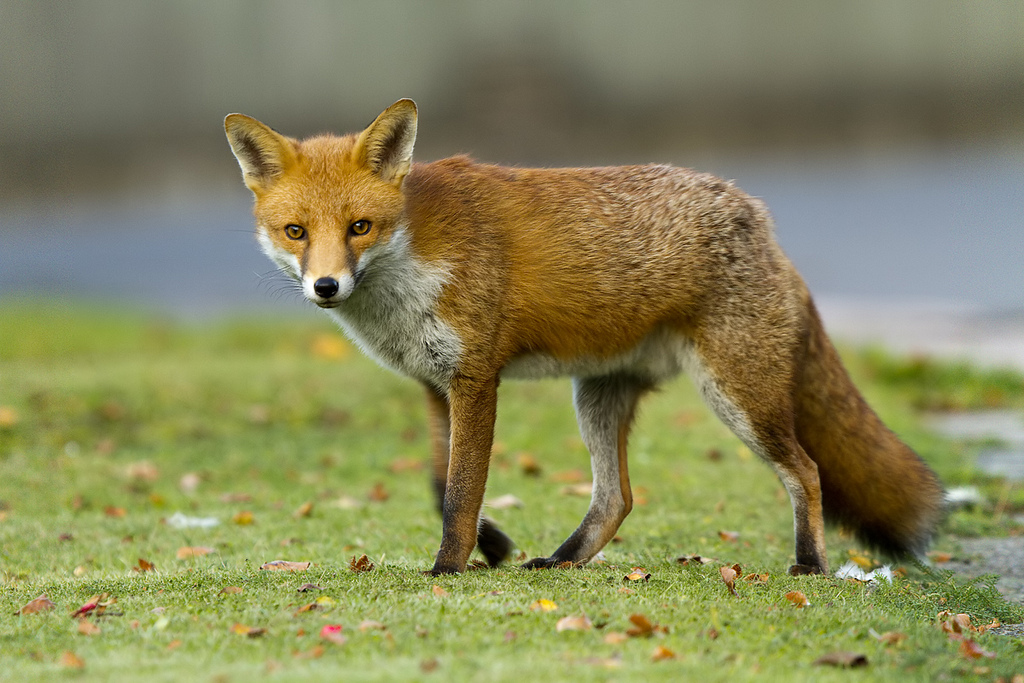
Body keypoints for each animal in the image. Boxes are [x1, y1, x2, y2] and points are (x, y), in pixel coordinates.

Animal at [224, 98, 945, 576]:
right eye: (295, 231)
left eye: (359, 227)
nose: (325, 286)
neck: (410, 260)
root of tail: (760, 219)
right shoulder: (434, 384)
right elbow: (438, 483)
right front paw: (494, 545)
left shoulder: (475, 379)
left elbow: (459, 491)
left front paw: (448, 569)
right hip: (598, 395)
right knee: (616, 497)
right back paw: (561, 560)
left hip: (739, 397)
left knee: (808, 470)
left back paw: (810, 564)